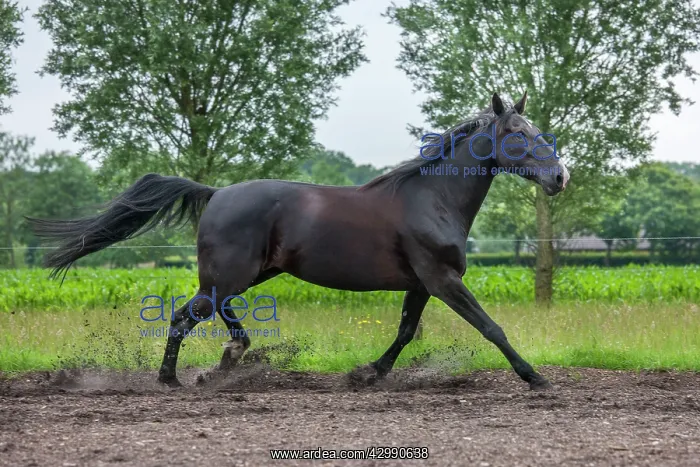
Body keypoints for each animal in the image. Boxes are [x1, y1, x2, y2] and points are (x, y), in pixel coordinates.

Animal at [26, 92, 569, 390]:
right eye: (518, 131)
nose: (560, 177)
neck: (431, 198)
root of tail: (216, 192)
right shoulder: (443, 280)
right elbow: (491, 328)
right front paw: (536, 378)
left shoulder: (422, 284)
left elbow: (404, 333)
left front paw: (367, 373)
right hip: (231, 275)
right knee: (185, 317)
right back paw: (174, 378)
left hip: (248, 274)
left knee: (217, 315)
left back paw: (229, 359)